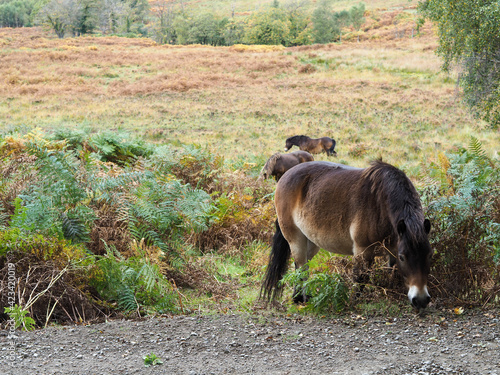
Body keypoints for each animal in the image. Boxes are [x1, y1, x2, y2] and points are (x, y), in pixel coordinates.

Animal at [262, 160, 434, 310]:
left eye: (428, 255)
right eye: (403, 257)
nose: (420, 300)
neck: (380, 204)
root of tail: (286, 175)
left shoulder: (392, 250)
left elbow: (391, 272)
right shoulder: (363, 250)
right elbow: (360, 278)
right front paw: (355, 302)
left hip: (311, 241)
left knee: (303, 266)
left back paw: (302, 297)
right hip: (295, 238)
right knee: (300, 267)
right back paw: (299, 299)